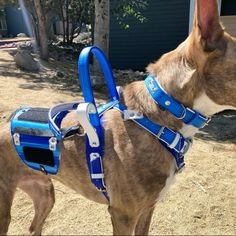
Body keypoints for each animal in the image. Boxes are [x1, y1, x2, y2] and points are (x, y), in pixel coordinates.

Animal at [0, 0, 236, 235]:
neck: (155, 119)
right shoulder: (123, 215)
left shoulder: (148, 208)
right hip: (6, 210)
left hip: (45, 194)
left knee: (34, 227)